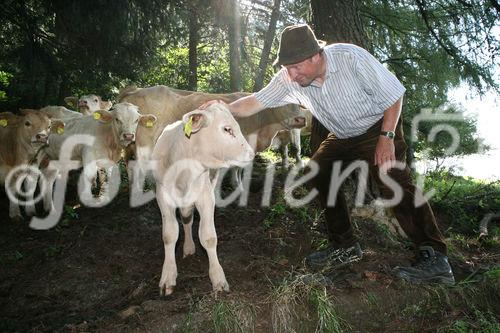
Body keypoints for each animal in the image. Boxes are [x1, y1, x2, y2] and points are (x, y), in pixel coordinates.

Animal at [151, 103, 254, 294]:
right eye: (227, 129)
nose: (251, 154)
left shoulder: (205, 196)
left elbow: (208, 237)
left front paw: (217, 277)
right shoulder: (162, 196)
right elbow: (169, 235)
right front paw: (168, 275)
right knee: (186, 218)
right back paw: (188, 247)